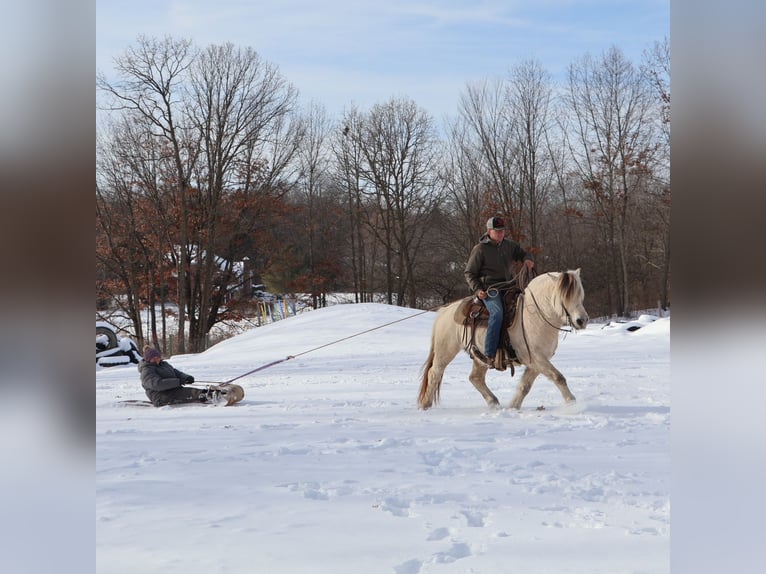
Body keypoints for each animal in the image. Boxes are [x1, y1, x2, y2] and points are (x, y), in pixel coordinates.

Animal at [418, 269, 589, 410]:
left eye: (580, 295)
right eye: (565, 296)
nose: (582, 320)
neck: (535, 316)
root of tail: (444, 311)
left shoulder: (537, 362)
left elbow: (525, 386)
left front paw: (513, 407)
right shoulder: (537, 359)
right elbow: (558, 377)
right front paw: (572, 402)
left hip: (480, 357)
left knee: (475, 378)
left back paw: (493, 402)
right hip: (445, 352)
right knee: (434, 373)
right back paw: (425, 405)